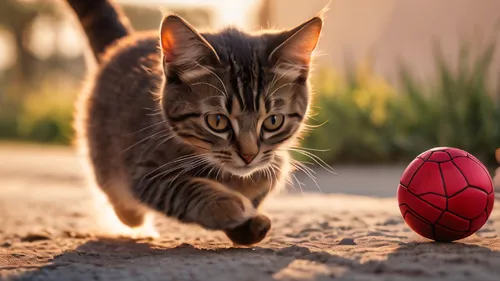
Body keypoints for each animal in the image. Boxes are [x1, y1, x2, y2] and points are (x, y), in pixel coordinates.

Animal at [66, 0, 322, 244]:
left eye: (273, 121)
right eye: (217, 121)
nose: (249, 156)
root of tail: (126, 41)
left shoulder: (276, 162)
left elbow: (265, 178)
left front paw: (249, 221)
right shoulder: (144, 170)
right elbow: (184, 188)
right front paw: (229, 205)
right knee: (118, 195)